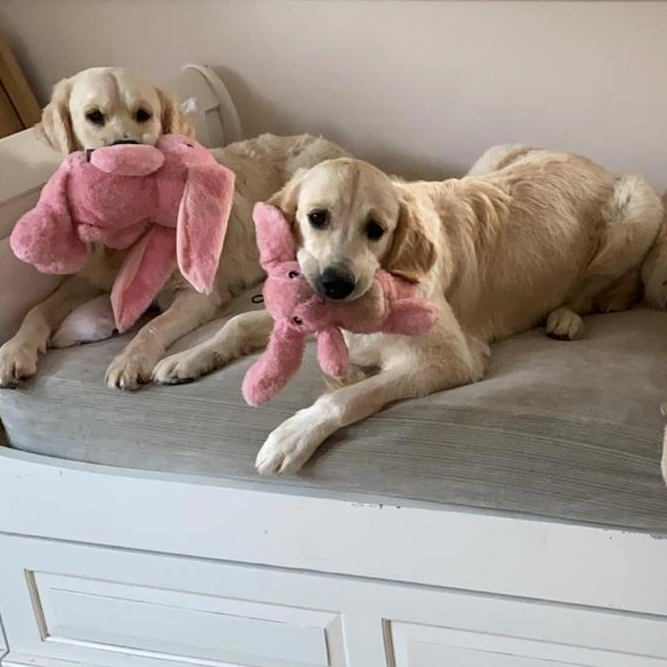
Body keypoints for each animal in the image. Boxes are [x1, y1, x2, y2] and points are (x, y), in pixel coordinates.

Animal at [0, 65, 348, 388]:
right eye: (94, 116)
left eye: (143, 114)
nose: (125, 148)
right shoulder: (84, 280)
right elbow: (37, 309)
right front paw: (15, 350)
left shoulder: (197, 294)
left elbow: (152, 326)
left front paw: (130, 359)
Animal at [155, 145, 664, 474]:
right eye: (317, 217)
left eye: (376, 229)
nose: (336, 284)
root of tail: (596, 164)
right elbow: (237, 320)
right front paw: (186, 357)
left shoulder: (450, 358)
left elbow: (345, 397)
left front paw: (292, 435)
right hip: (494, 156)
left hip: (635, 215)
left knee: (603, 293)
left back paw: (565, 317)